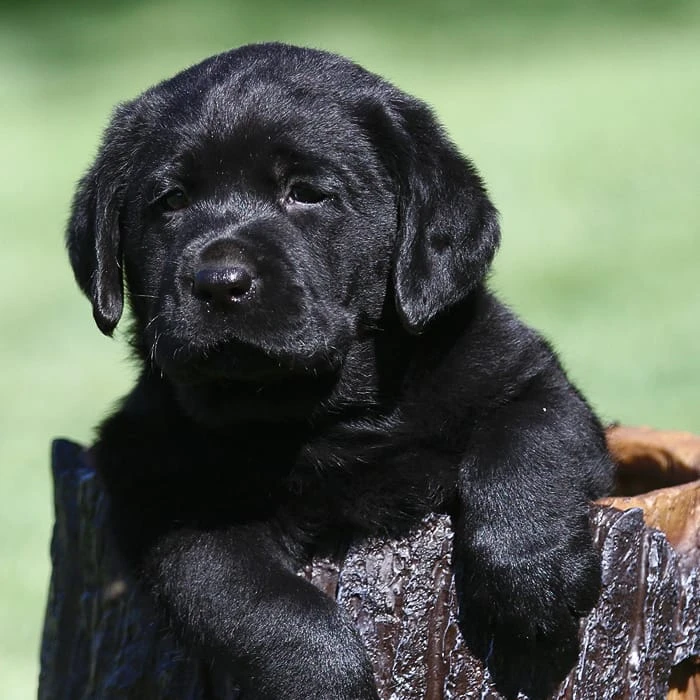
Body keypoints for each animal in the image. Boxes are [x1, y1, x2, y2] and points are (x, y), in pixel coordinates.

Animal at [67, 45, 612, 700]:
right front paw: (324, 678)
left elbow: (527, 443)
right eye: (171, 202)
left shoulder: (526, 375)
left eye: (305, 194)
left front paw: (533, 579)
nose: (219, 283)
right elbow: (254, 600)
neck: (326, 416)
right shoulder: (161, 490)